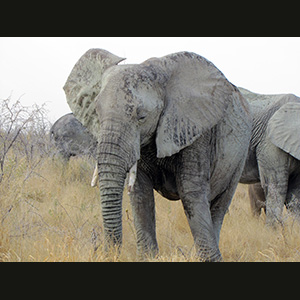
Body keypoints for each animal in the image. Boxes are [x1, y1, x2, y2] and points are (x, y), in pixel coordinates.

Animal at [63, 48, 253, 262]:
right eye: (96, 112)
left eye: (142, 117)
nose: (109, 253)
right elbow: (140, 193)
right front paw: (147, 257)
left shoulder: (196, 130)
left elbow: (191, 191)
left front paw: (210, 259)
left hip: (240, 154)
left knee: (220, 205)